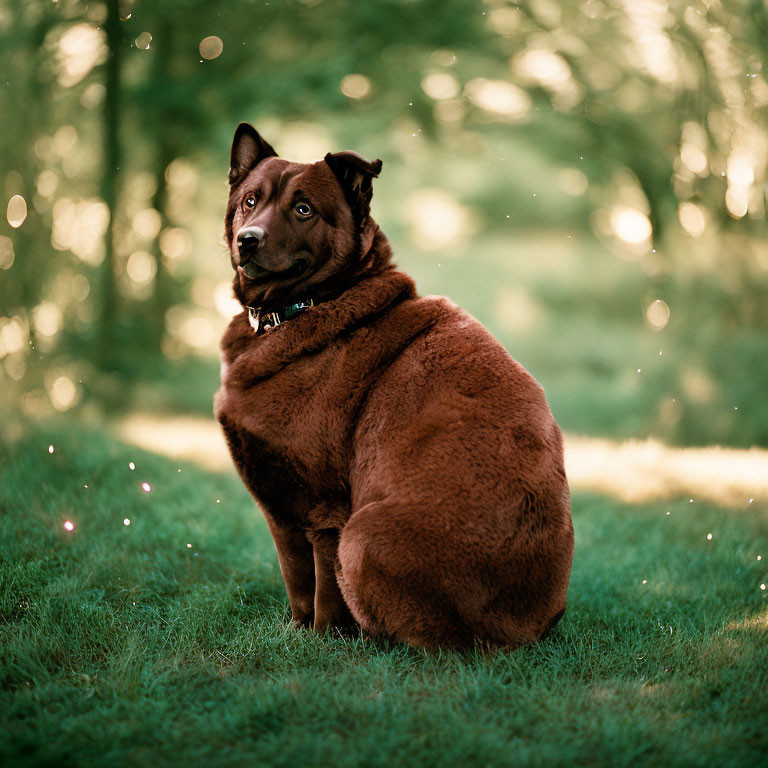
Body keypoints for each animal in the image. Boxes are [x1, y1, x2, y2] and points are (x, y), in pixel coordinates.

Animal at [213, 121, 572, 648]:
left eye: (304, 209)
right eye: (250, 201)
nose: (248, 239)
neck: (304, 309)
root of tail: (518, 633)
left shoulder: (325, 513)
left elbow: (322, 597)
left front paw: (320, 645)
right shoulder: (281, 509)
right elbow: (297, 584)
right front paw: (295, 633)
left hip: (361, 538)